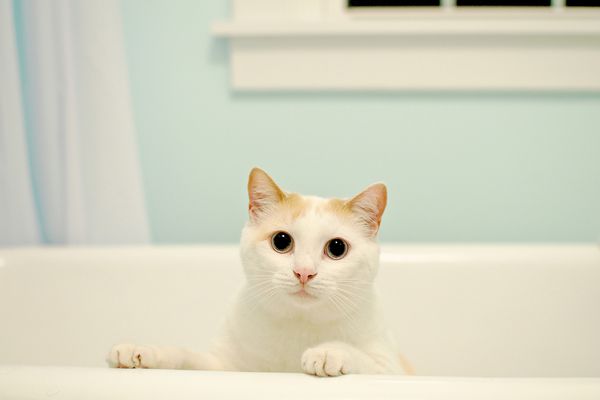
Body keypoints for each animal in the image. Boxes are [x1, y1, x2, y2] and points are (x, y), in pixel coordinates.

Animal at [108, 167, 408, 376]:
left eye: (337, 248)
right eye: (281, 241)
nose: (304, 273)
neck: (298, 323)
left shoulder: (391, 369)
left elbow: (362, 358)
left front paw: (329, 352)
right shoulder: (224, 366)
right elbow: (184, 355)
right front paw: (143, 351)